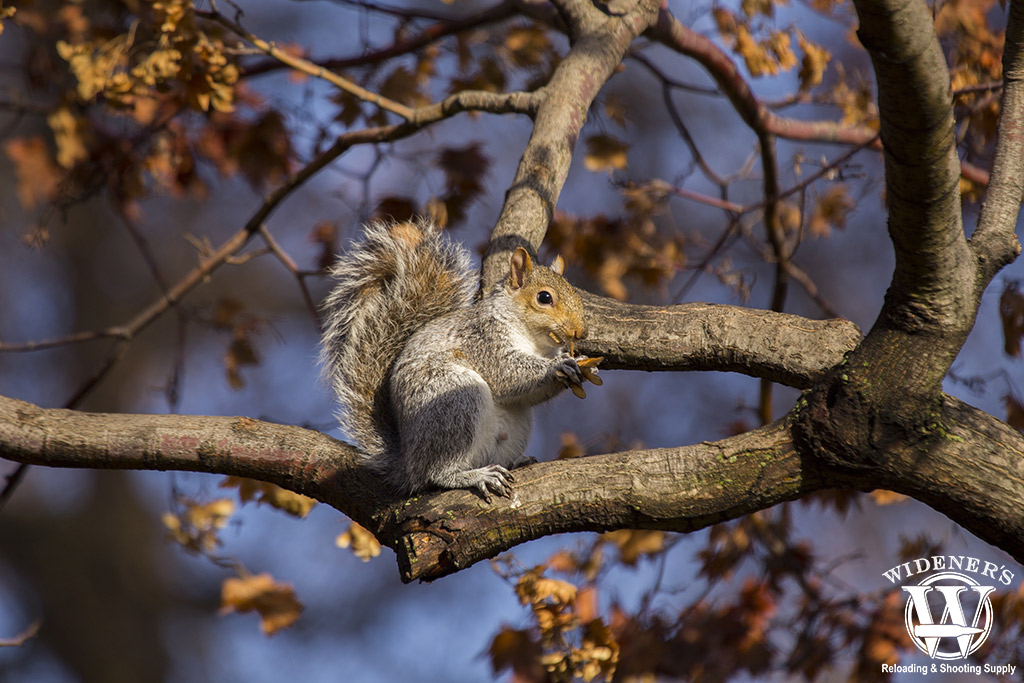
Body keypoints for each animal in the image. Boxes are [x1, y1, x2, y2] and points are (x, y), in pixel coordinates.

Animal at [319, 218, 600, 500]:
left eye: (576, 294)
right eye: (544, 297)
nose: (581, 332)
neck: (535, 340)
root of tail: (408, 464)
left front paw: (581, 365)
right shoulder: (483, 339)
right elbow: (507, 372)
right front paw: (558, 366)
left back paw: (514, 462)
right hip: (455, 401)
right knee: (437, 473)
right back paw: (474, 475)